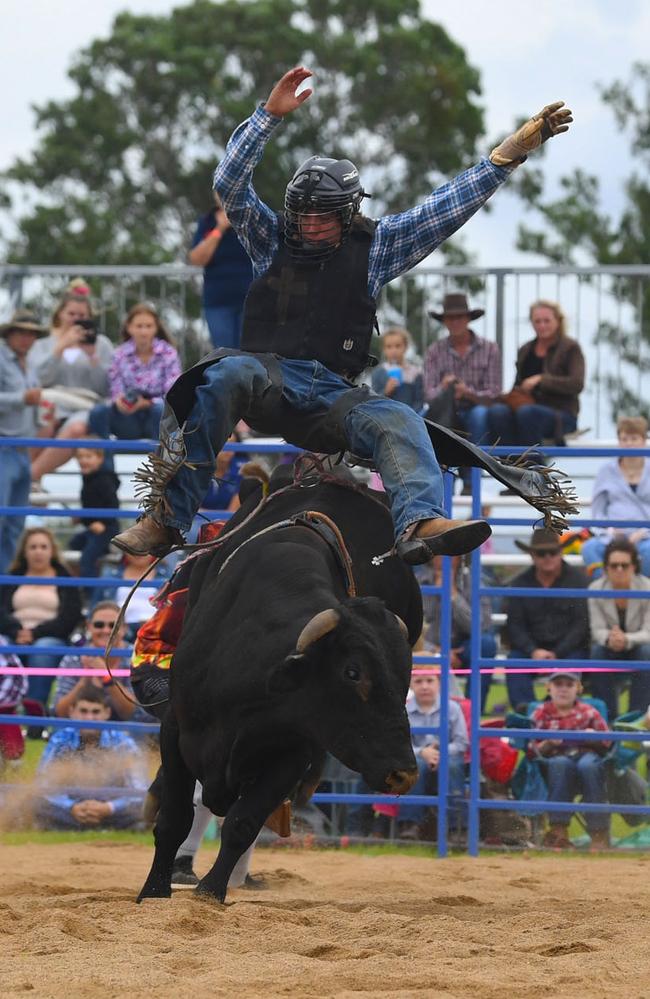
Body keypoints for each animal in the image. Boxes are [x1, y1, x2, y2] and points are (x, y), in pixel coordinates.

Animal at [137, 472, 422, 904]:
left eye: (405, 675)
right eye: (352, 672)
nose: (403, 774)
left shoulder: (292, 752)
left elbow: (242, 822)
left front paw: (211, 892)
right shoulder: (175, 729)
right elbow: (174, 818)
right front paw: (154, 890)